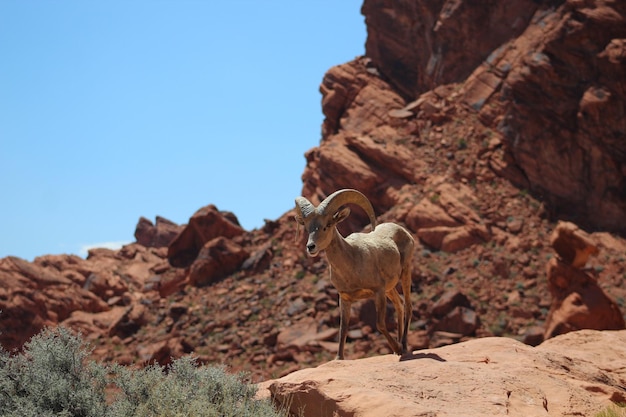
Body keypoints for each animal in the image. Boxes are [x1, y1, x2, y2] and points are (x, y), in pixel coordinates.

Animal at [294, 188, 414, 358]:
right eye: (307, 227)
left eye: (328, 225)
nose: (311, 247)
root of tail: (404, 232)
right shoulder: (345, 298)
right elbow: (343, 328)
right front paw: (339, 357)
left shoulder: (378, 291)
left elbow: (380, 324)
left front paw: (397, 349)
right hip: (390, 289)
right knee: (399, 305)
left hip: (405, 273)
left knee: (408, 306)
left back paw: (403, 346)